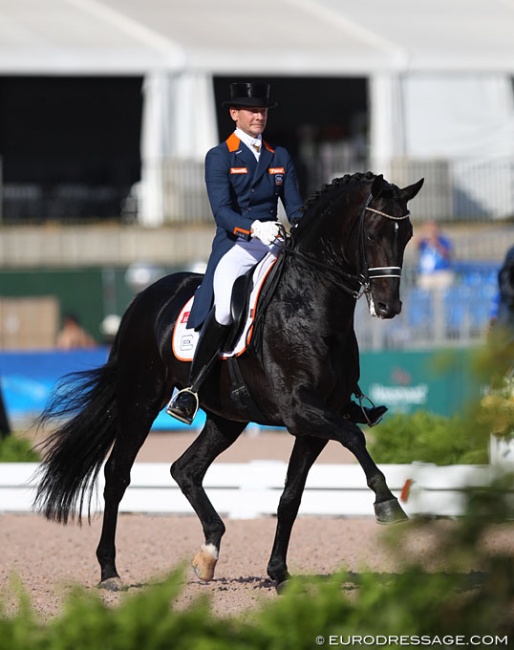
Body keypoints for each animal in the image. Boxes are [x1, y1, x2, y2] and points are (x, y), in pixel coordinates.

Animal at [34, 171, 422, 588]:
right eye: (373, 233)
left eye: (407, 234)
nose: (388, 307)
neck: (310, 307)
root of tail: (145, 298)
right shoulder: (299, 410)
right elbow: (354, 437)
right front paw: (387, 503)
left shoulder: (316, 422)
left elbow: (291, 496)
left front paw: (279, 572)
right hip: (141, 401)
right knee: (117, 475)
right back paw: (109, 570)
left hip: (226, 418)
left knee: (185, 469)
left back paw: (208, 552)